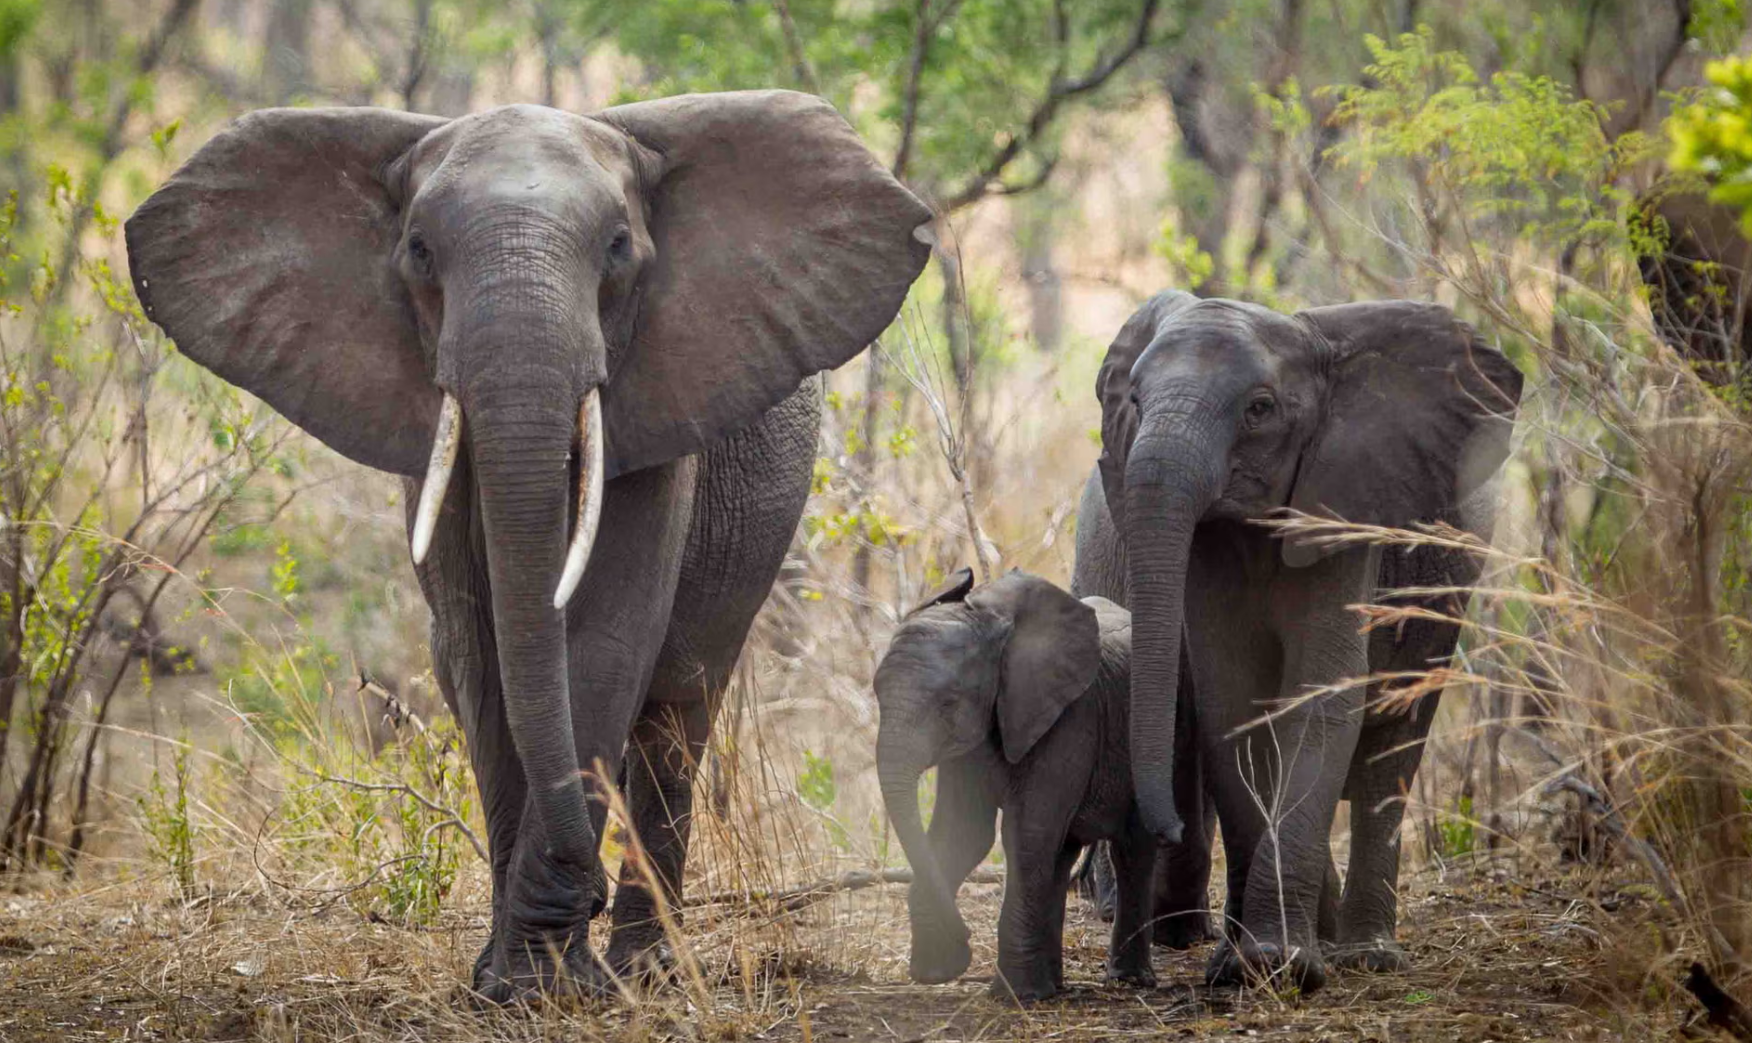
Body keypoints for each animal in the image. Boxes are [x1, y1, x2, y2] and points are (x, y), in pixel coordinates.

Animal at [127, 93, 932, 1002]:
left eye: (618, 248)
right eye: (419, 251)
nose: (588, 888)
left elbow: (607, 641)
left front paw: (547, 981)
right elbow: (479, 657)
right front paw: (509, 980)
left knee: (679, 713)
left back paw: (647, 970)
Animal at [1065, 289, 1520, 988]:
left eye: (1260, 408)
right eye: (1134, 400)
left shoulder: (1347, 505)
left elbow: (1321, 694)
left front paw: (1279, 964)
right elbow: (1235, 704)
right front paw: (1242, 966)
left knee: (1395, 739)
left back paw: (1366, 953)